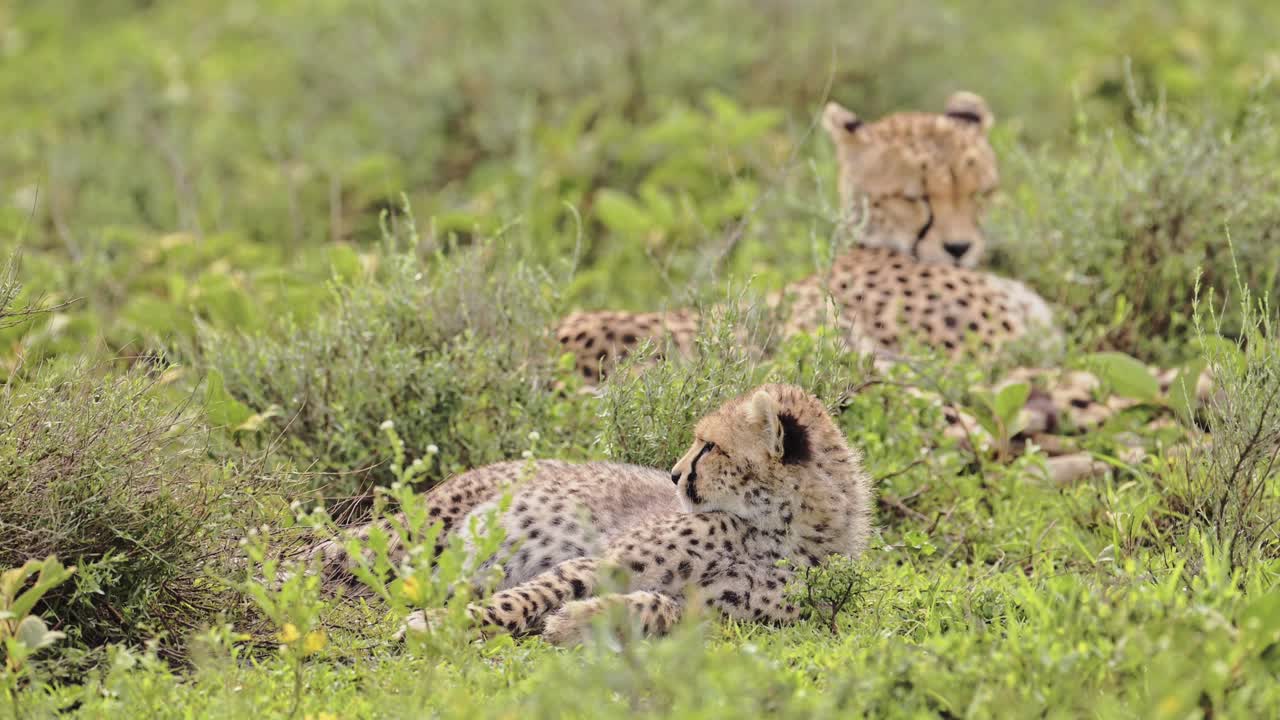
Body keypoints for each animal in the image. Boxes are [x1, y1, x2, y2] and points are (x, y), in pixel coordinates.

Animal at [400, 383, 873, 645]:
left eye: (710, 447)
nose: (674, 474)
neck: (773, 530)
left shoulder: (716, 617)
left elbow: (656, 607)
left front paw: (575, 622)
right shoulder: (602, 559)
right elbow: (532, 593)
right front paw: (437, 623)